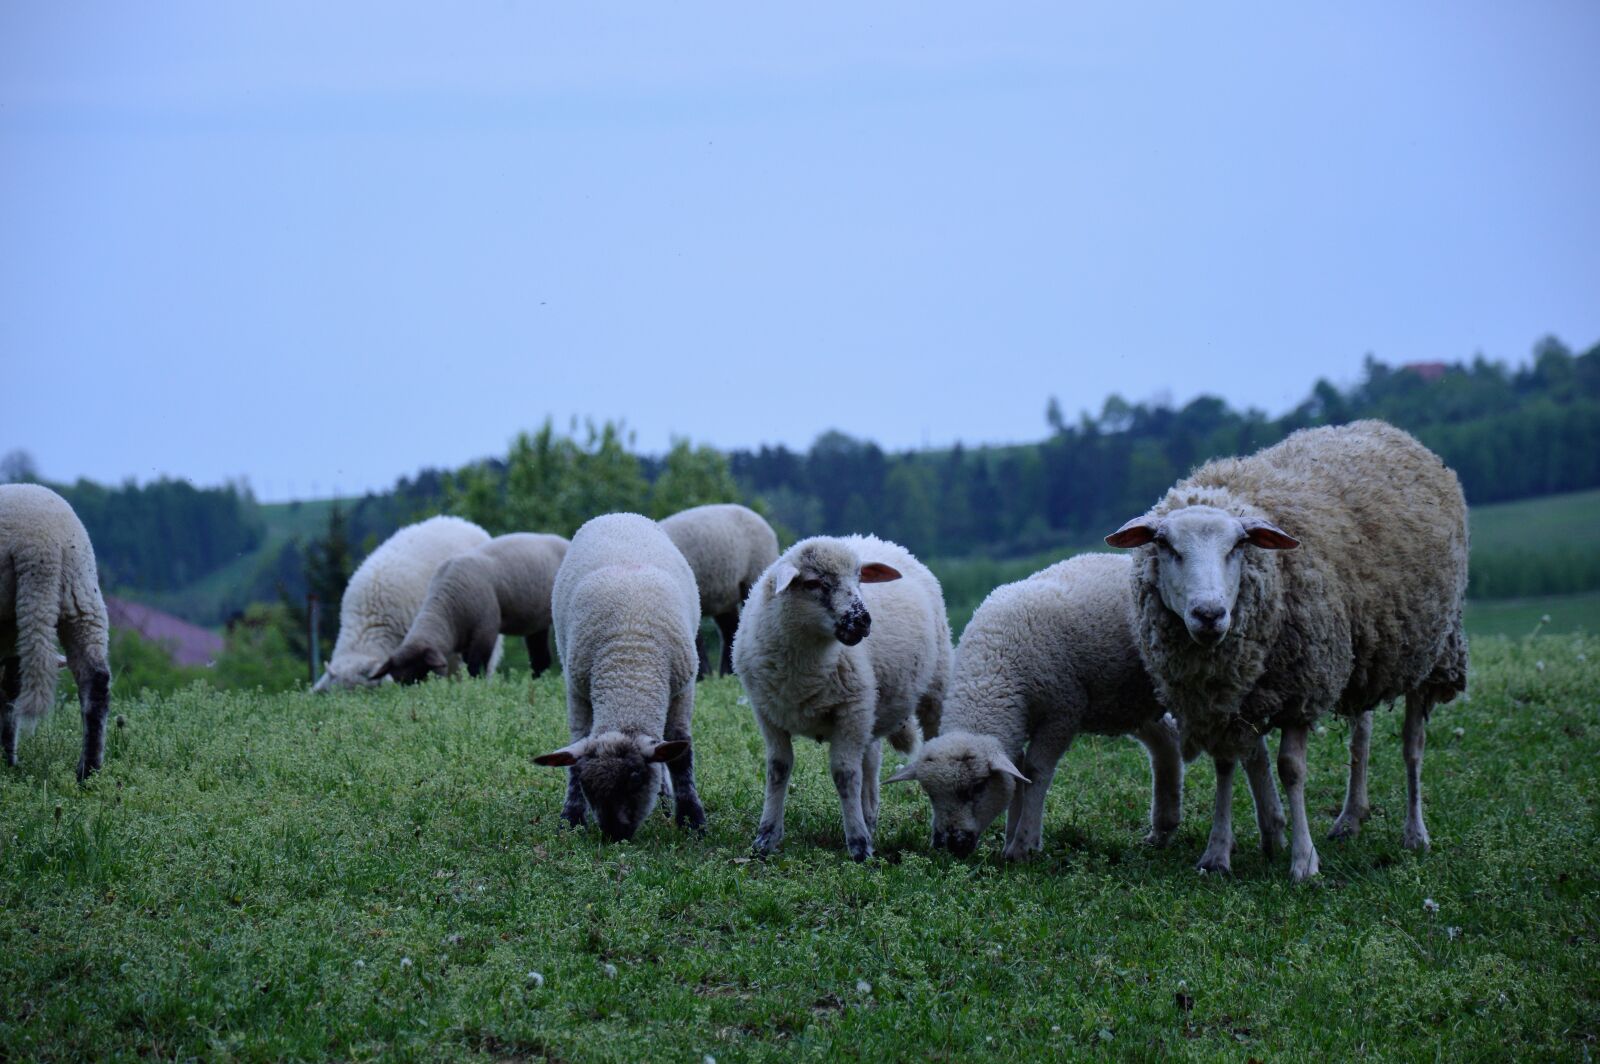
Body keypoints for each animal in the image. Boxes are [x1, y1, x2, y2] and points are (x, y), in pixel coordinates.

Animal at [371, 532, 569, 684]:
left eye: (422, 674)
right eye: (398, 682)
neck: (447, 610)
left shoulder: (485, 630)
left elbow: (477, 665)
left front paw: (477, 687)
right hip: (536, 623)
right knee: (541, 659)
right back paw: (538, 682)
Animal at [532, 512, 706, 840]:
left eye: (635, 778)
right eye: (586, 784)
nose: (615, 835)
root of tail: (617, 514)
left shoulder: (683, 689)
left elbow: (680, 754)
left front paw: (692, 821)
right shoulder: (577, 688)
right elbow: (576, 746)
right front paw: (571, 819)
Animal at [733, 534, 950, 861]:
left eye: (859, 578)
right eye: (813, 583)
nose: (862, 621)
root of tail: (875, 539)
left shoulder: (851, 709)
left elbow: (844, 774)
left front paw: (858, 846)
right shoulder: (767, 712)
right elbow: (778, 769)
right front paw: (766, 838)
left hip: (933, 692)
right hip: (871, 711)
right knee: (869, 763)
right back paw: (869, 818)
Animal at [887, 553, 1286, 862]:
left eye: (975, 789)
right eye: (930, 794)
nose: (950, 845)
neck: (994, 668)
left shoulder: (1062, 712)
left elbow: (1035, 772)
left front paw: (1024, 845)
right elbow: (1018, 775)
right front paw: (1013, 835)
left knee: (1253, 750)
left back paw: (1273, 833)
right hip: (1131, 700)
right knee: (1166, 742)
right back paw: (1163, 828)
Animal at [1107, 420, 1469, 881]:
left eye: (1237, 547)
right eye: (1167, 547)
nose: (1209, 614)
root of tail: (1380, 427)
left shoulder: (1302, 687)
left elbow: (1292, 770)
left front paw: (1304, 860)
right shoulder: (1224, 700)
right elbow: (1225, 763)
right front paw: (1217, 853)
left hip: (1432, 649)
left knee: (1413, 745)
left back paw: (1415, 833)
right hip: (1362, 652)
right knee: (1362, 734)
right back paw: (1351, 817)